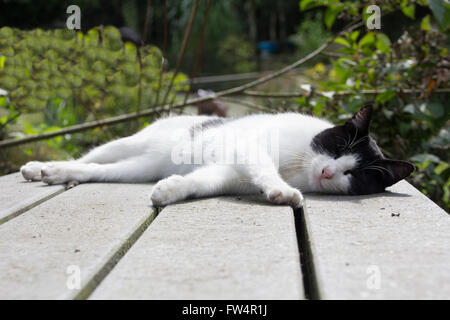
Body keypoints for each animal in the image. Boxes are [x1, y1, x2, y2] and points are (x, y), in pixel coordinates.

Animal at [20, 105, 414, 209]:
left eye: (356, 175)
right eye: (337, 148)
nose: (329, 173)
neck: (298, 166)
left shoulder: (229, 172)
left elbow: (201, 182)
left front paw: (172, 191)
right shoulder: (251, 149)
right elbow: (265, 168)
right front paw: (282, 191)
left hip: (137, 168)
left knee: (98, 171)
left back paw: (54, 174)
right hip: (126, 144)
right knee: (88, 157)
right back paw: (40, 167)